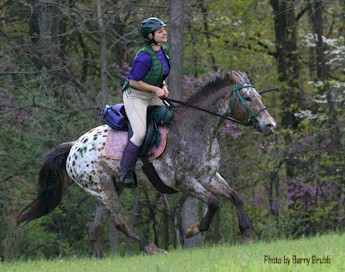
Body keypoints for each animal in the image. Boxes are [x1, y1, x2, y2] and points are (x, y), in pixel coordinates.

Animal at [16, 70, 276, 258]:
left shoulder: (209, 177)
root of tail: (72, 147)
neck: (198, 129)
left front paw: (246, 234)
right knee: (120, 222)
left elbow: (234, 197)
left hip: (105, 190)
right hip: (104, 188)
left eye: (260, 97)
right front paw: (192, 230)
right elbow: (214, 203)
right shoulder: (184, 181)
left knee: (94, 227)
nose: (270, 126)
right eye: (249, 98)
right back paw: (152, 248)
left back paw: (101, 260)